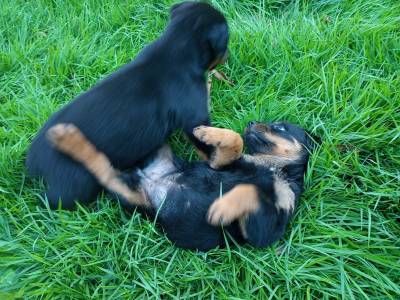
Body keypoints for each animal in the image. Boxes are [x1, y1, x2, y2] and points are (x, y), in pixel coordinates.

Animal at [26, 1, 230, 209]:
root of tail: (32, 160)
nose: (228, 55)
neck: (175, 48)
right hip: (76, 181)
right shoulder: (194, 117)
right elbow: (205, 144)